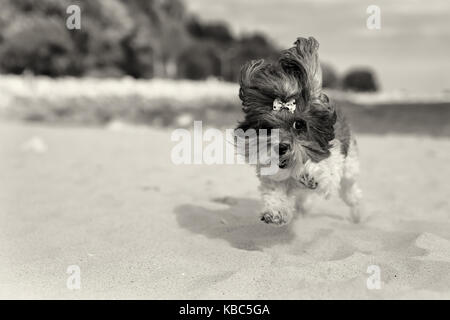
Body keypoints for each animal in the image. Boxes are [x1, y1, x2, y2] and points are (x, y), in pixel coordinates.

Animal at [236, 37, 362, 225]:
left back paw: (358, 215)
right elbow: (274, 193)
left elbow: (324, 169)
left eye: (299, 124)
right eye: (267, 128)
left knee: (352, 194)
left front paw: (310, 174)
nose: (281, 147)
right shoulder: (274, 178)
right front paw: (275, 212)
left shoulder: (331, 165)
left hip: (349, 171)